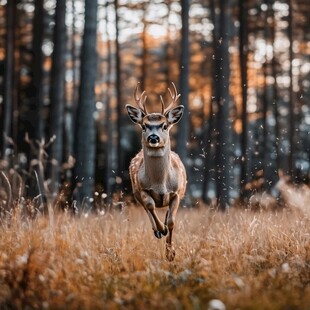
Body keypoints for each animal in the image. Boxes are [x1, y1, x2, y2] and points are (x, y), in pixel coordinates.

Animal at [126, 82, 186, 262]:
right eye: (144, 125)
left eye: (164, 125)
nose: (153, 137)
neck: (160, 184)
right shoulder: (142, 189)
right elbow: (150, 206)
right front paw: (161, 229)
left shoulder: (177, 193)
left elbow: (172, 221)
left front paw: (170, 253)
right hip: (135, 192)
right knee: (147, 209)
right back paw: (158, 230)